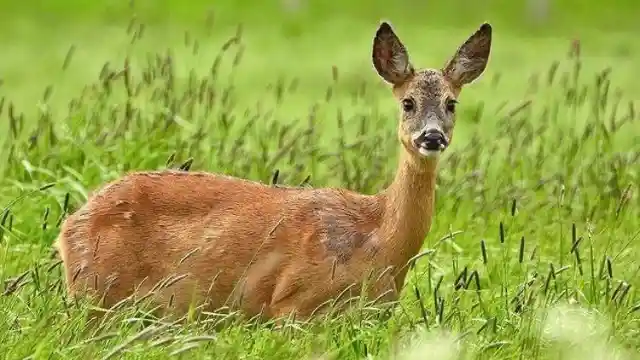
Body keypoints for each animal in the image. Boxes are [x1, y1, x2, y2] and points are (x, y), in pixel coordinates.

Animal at [56, 21, 496, 322]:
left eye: (451, 103)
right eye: (407, 103)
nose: (432, 136)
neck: (377, 240)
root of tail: (70, 226)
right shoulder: (292, 302)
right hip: (98, 293)